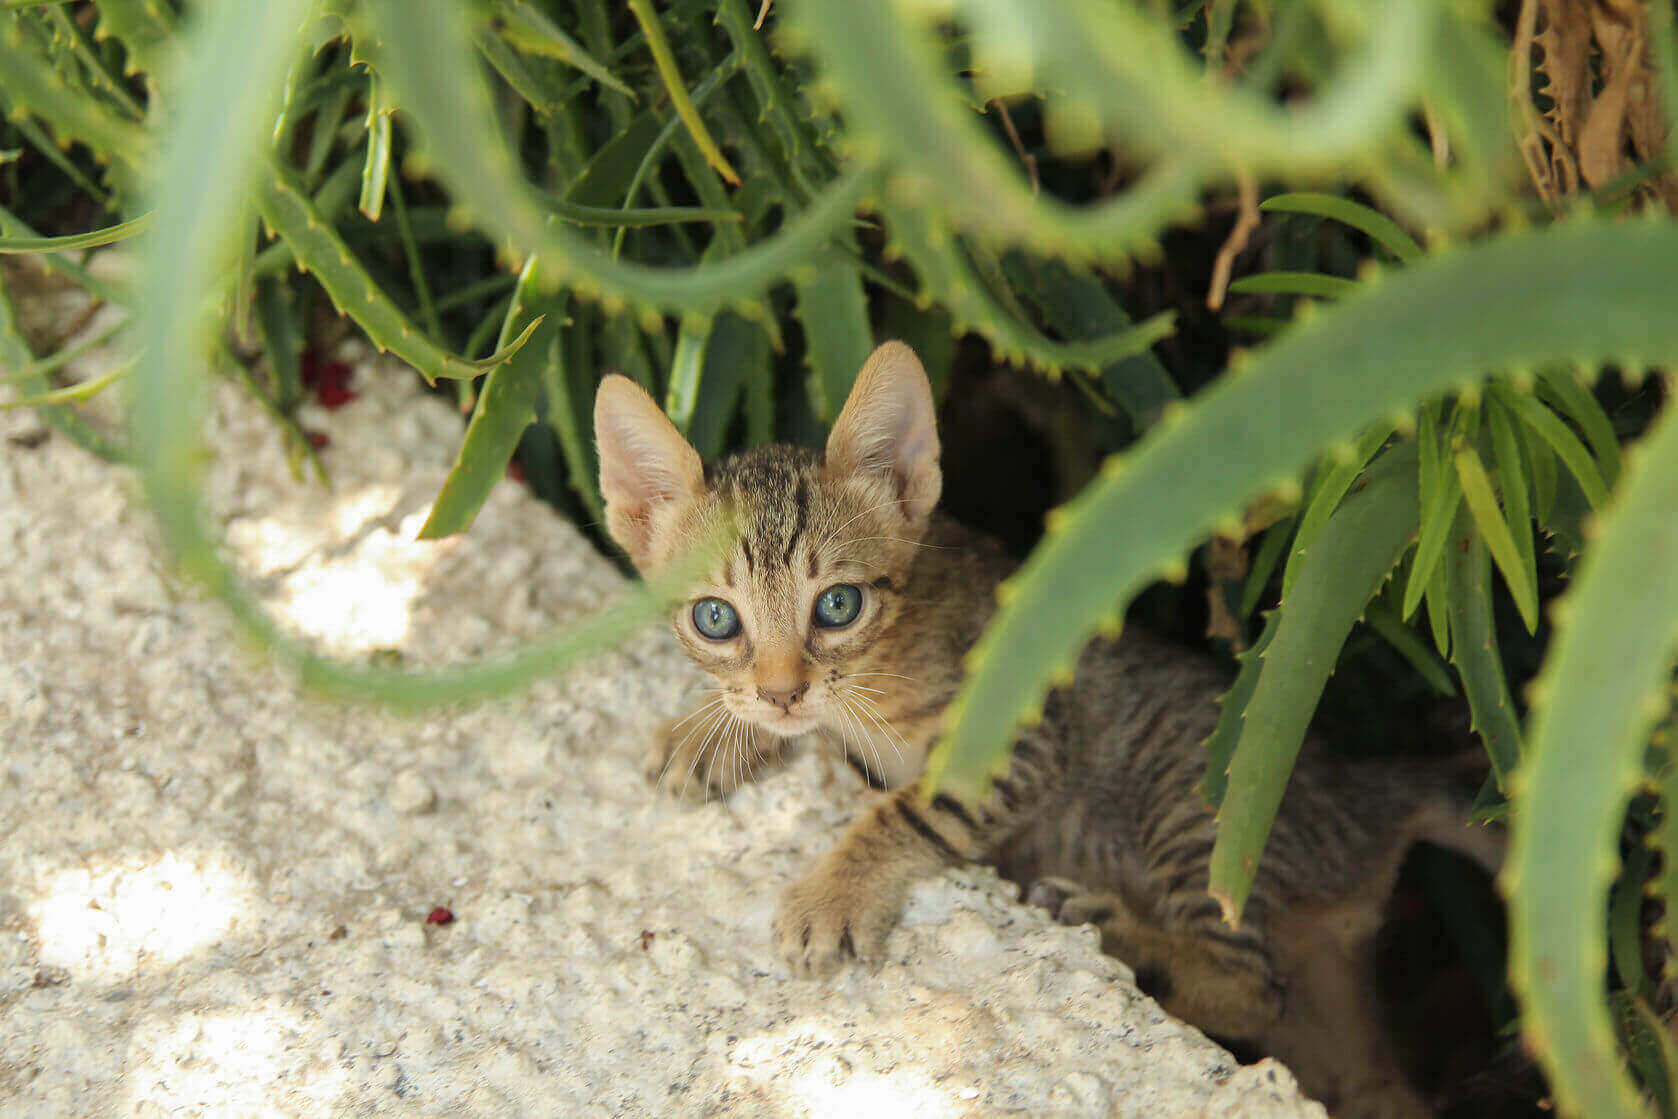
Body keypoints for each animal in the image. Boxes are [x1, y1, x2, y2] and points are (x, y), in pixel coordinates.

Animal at [597, 343, 1503, 1119]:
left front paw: (833, 890)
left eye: (839, 604)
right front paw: (709, 733)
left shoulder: (1021, 737)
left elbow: (907, 807)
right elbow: (800, 724)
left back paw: (1120, 934)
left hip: (1205, 804)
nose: (784, 690)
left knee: (1252, 983)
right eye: (716, 618)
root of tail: (1365, 784)